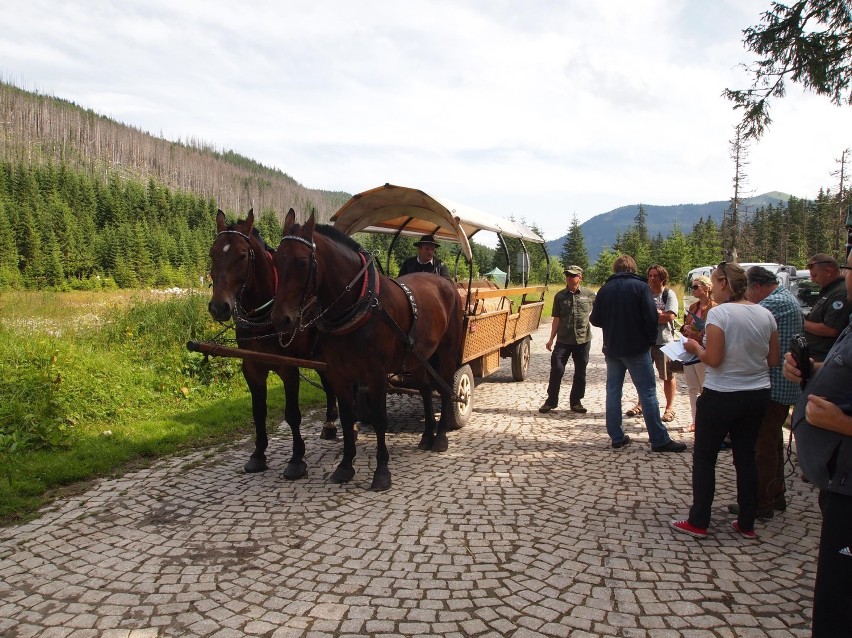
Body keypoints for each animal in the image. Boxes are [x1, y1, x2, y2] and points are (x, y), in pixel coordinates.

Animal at [207, 210, 340, 480]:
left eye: (242, 255)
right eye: (212, 253)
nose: (219, 307)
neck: (263, 315)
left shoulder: (288, 368)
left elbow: (292, 415)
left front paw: (297, 459)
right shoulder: (252, 367)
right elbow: (258, 412)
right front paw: (258, 455)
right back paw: (330, 423)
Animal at [270, 212, 462, 492]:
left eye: (303, 262)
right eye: (275, 259)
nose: (281, 319)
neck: (360, 305)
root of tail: (446, 283)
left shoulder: (376, 374)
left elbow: (380, 419)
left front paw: (381, 472)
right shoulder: (339, 374)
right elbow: (347, 418)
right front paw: (345, 466)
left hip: (446, 352)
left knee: (446, 387)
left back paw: (440, 438)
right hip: (417, 358)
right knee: (426, 389)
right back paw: (427, 435)